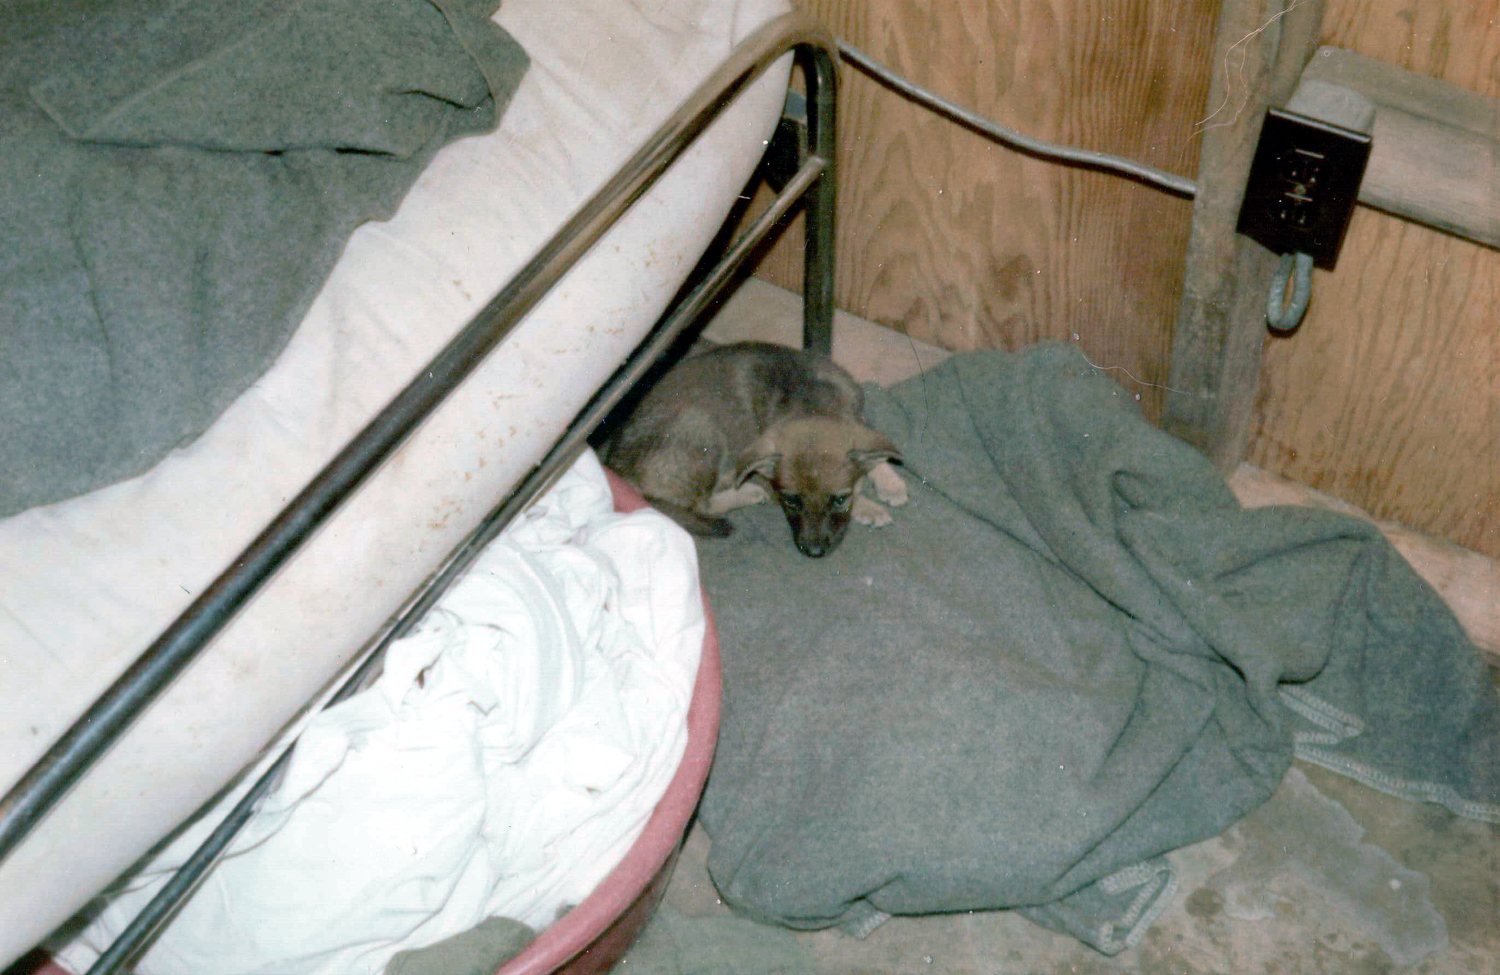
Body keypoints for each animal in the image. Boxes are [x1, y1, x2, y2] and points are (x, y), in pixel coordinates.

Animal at [602, 341, 906, 558]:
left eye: (839, 500)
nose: (814, 552)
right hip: (702, 427)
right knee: (701, 504)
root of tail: (616, 468)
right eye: (791, 501)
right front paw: (870, 508)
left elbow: (878, 453)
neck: (812, 401)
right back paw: (747, 492)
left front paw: (891, 484)